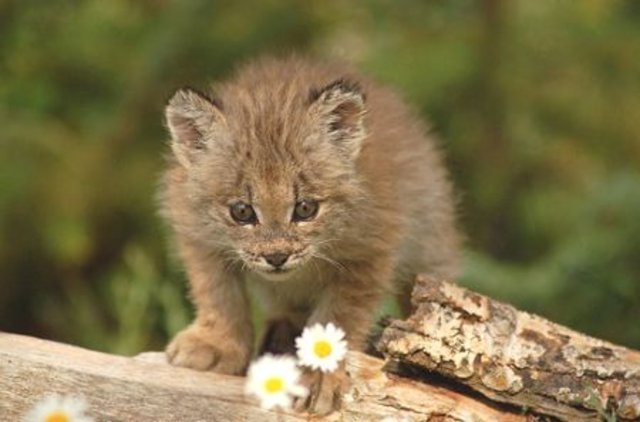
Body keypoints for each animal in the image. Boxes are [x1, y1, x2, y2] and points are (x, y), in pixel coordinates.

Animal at [160, 55, 460, 412]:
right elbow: (218, 292)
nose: (276, 257)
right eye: (242, 211)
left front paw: (319, 375)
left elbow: (338, 317)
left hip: (430, 240)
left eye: (305, 208)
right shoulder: (197, 234)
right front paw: (217, 343)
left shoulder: (370, 249)